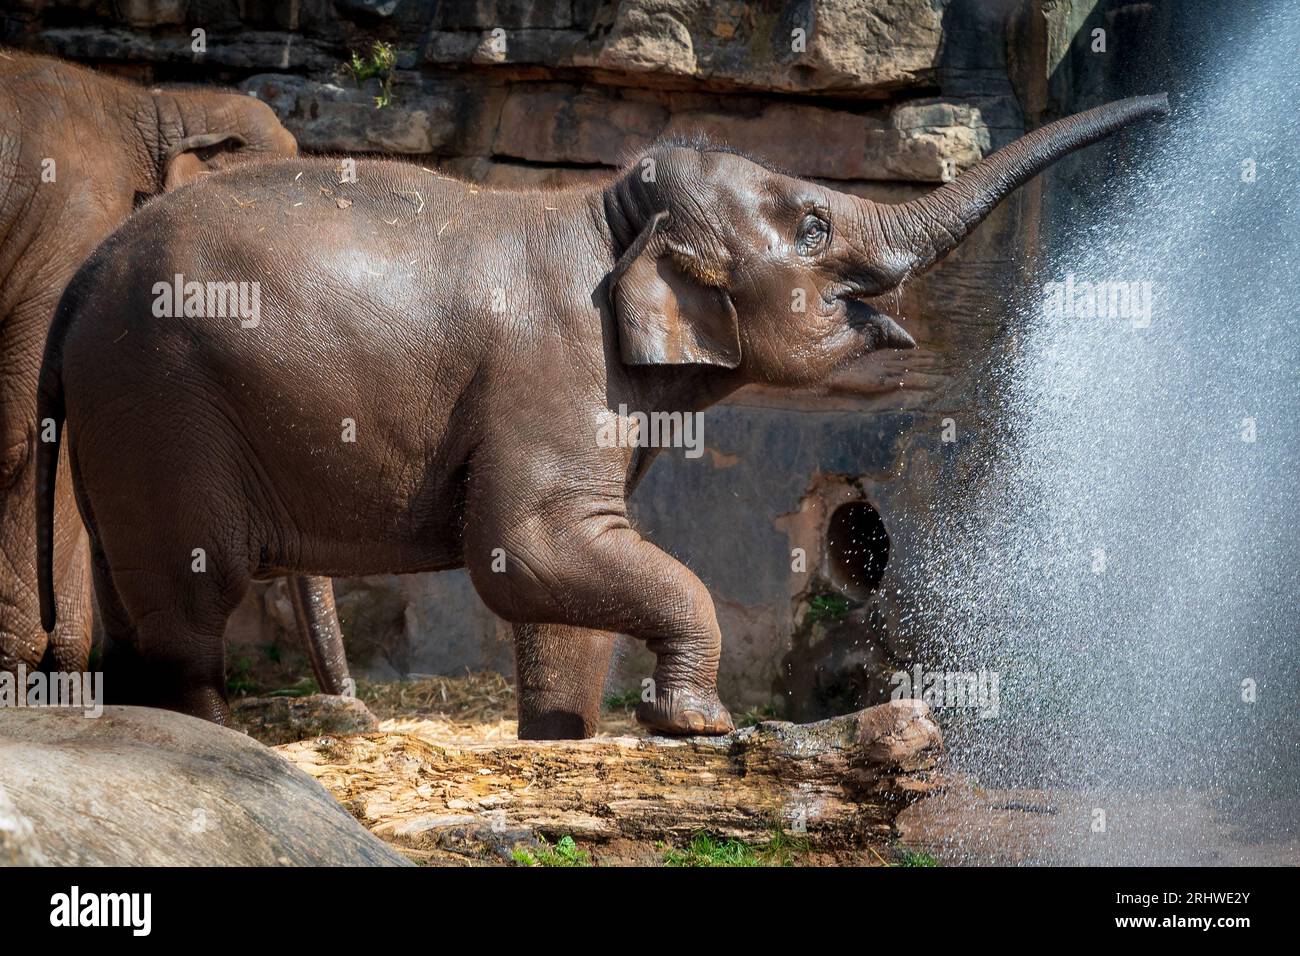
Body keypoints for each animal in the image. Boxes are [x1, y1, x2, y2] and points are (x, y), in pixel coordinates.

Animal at [35, 93, 1167, 735]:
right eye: (811, 226)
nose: (1164, 109)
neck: (605, 211)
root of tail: (81, 281)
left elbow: (562, 579)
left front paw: (564, 737)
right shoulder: (553, 365)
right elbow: (527, 546)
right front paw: (696, 724)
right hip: (163, 401)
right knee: (189, 595)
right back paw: (211, 739)